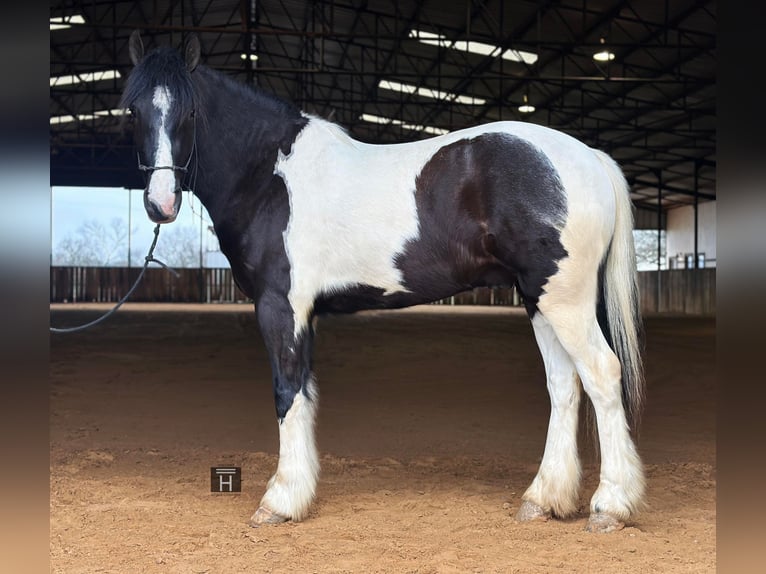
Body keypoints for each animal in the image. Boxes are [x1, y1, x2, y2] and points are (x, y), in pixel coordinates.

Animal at [121, 32, 648, 536]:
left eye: (190, 111)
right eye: (134, 110)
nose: (160, 204)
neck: (269, 173)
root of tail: (588, 157)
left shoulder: (280, 305)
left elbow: (287, 392)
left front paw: (280, 501)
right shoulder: (303, 313)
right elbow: (306, 392)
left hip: (565, 300)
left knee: (601, 375)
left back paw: (609, 507)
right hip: (539, 299)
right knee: (563, 385)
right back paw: (543, 500)